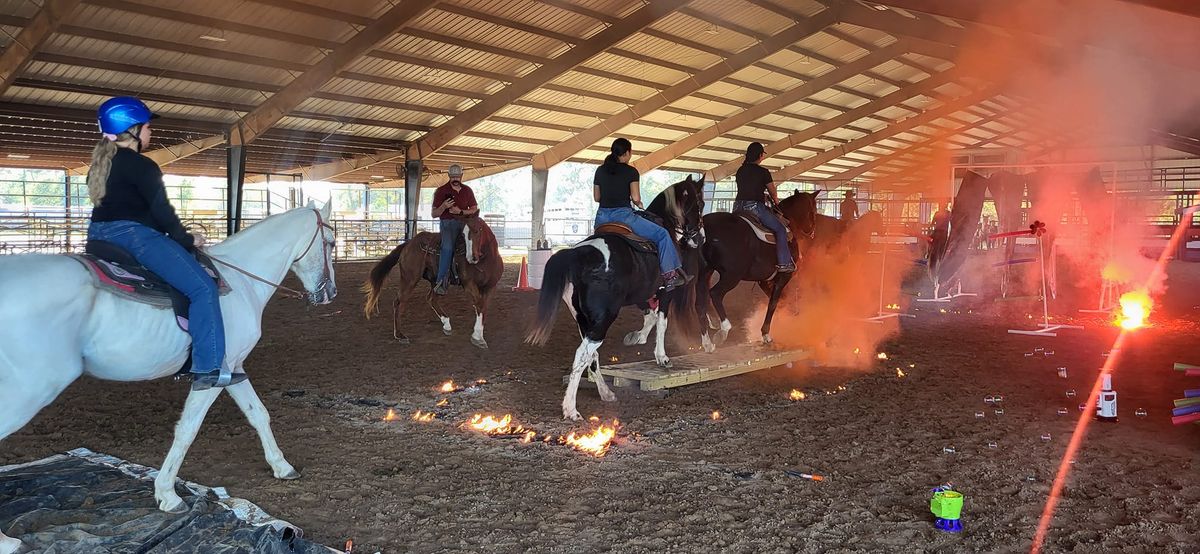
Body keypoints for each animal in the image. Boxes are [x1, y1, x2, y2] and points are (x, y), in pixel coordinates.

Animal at [0, 203, 338, 554]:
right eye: (330, 243)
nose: (330, 293)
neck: (241, 283)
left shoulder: (233, 368)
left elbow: (259, 414)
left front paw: (282, 467)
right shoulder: (212, 377)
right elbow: (187, 429)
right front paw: (167, 494)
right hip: (31, 389)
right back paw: (6, 541)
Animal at [360, 215, 501, 347]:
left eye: (478, 230)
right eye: (463, 234)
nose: (471, 258)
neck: (485, 261)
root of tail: (409, 244)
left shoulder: (490, 287)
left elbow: (483, 307)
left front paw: (479, 335)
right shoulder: (469, 284)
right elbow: (479, 304)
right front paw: (477, 336)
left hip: (435, 281)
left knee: (431, 299)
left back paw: (446, 324)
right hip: (410, 279)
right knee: (399, 302)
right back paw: (400, 335)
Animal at [523, 177, 700, 419]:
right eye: (699, 202)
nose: (699, 237)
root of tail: (576, 254)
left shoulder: (642, 294)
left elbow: (650, 316)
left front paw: (636, 337)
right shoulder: (666, 292)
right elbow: (661, 321)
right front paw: (662, 357)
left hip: (584, 319)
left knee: (592, 356)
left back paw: (606, 393)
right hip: (603, 318)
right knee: (583, 355)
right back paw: (571, 409)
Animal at [696, 190, 816, 350]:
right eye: (813, 209)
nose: (812, 231)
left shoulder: (763, 280)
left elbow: (778, 300)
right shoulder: (784, 276)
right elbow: (773, 302)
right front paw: (765, 334)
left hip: (705, 272)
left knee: (699, 302)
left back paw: (708, 340)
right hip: (731, 276)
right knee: (715, 294)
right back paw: (723, 330)